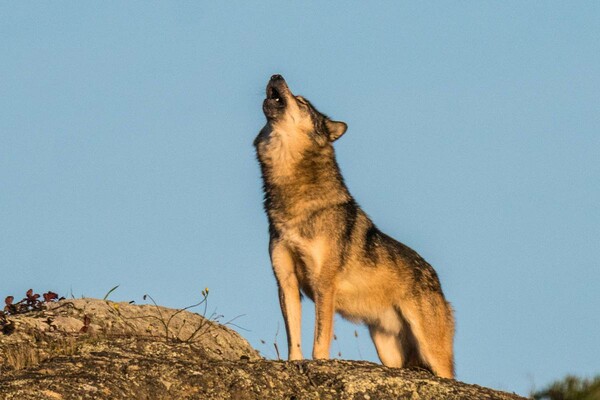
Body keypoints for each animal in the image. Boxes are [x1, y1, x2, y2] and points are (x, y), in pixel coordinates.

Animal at [253, 74, 454, 378]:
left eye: (302, 101)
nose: (276, 75)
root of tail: (436, 278)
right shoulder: (286, 282)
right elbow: (294, 337)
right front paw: (293, 363)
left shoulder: (324, 286)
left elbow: (320, 339)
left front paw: (319, 364)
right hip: (387, 350)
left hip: (433, 352)